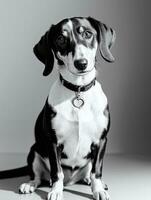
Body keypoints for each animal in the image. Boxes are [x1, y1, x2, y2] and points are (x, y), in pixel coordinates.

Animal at [0, 16, 115, 199]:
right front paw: (55, 191)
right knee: (37, 176)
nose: (81, 63)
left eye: (88, 34)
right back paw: (30, 184)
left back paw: (90, 181)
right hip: (34, 151)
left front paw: (98, 190)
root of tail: (71, 181)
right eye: (61, 39)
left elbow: (96, 171)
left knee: (88, 172)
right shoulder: (53, 142)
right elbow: (57, 172)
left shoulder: (101, 140)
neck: (77, 90)